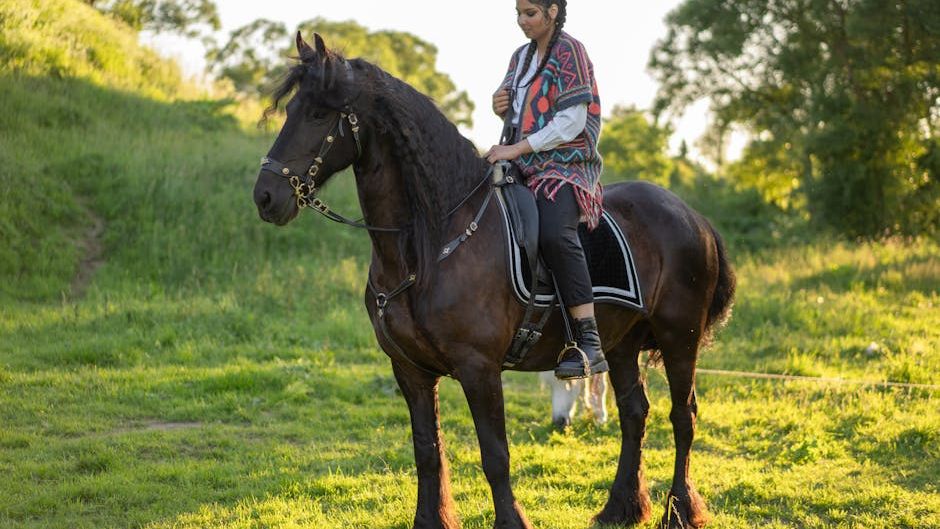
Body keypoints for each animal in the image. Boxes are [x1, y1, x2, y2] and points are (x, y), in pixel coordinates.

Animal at [253, 33, 735, 529]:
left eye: (317, 113)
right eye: (291, 110)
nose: (265, 197)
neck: (427, 245)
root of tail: (693, 217)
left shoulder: (479, 368)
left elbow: (495, 455)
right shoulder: (409, 369)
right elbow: (427, 452)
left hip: (680, 337)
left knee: (683, 416)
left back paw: (679, 510)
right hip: (621, 344)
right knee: (634, 413)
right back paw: (621, 508)